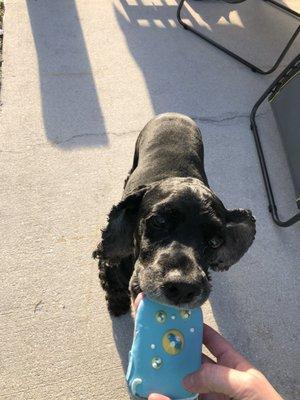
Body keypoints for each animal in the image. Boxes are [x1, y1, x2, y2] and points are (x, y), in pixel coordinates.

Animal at [94, 112, 255, 316]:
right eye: (159, 221)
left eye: (215, 241)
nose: (183, 289)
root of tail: (174, 114)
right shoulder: (112, 269)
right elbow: (114, 288)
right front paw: (117, 306)